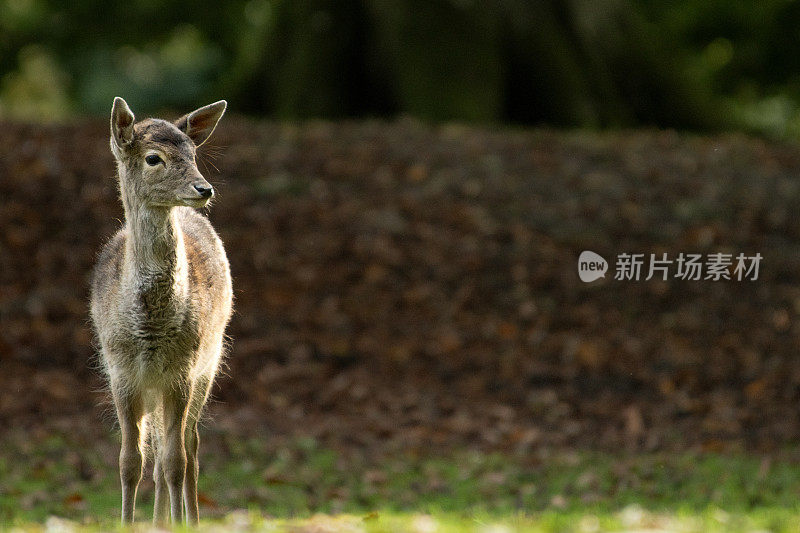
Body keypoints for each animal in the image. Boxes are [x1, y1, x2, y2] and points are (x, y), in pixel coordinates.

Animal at [92, 96, 234, 524]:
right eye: (154, 158)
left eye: (193, 153)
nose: (203, 188)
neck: (151, 325)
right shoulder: (120, 371)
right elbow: (129, 461)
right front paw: (127, 524)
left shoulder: (182, 371)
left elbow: (176, 461)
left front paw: (183, 523)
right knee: (154, 450)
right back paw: (158, 521)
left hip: (209, 363)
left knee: (191, 448)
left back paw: (185, 517)